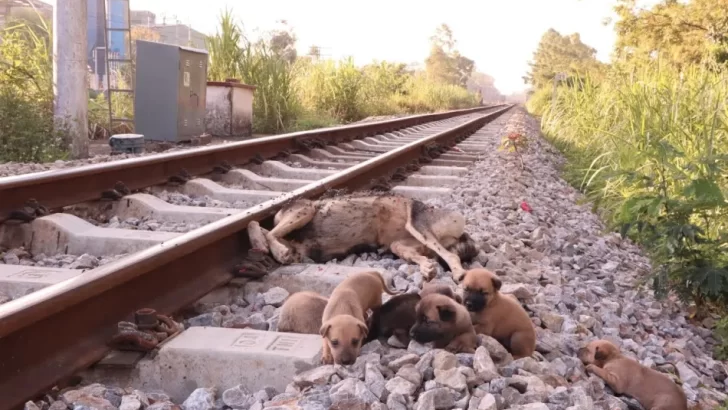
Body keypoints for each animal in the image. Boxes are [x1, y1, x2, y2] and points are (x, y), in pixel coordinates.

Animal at [247, 194, 480, 280]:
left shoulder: (304, 210)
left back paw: (458, 273)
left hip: (417, 224)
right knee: (428, 256)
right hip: (400, 244)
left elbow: (261, 227)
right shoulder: (298, 248)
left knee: (452, 257)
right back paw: (427, 268)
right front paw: (262, 244)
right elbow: (257, 226)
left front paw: (273, 249)